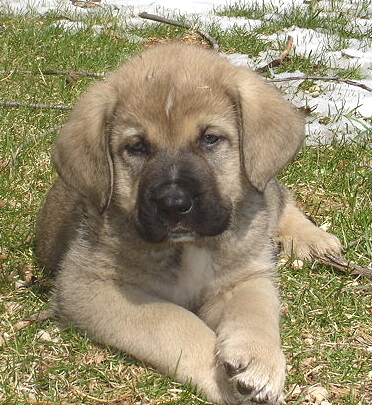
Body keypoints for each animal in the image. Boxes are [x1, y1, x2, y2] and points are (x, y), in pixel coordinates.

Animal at [36, 42, 342, 402]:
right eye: (136, 147)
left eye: (210, 139)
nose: (174, 204)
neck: (190, 248)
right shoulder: (88, 285)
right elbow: (173, 320)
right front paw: (221, 378)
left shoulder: (244, 277)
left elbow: (255, 310)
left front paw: (259, 359)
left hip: (266, 189)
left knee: (281, 198)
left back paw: (313, 238)